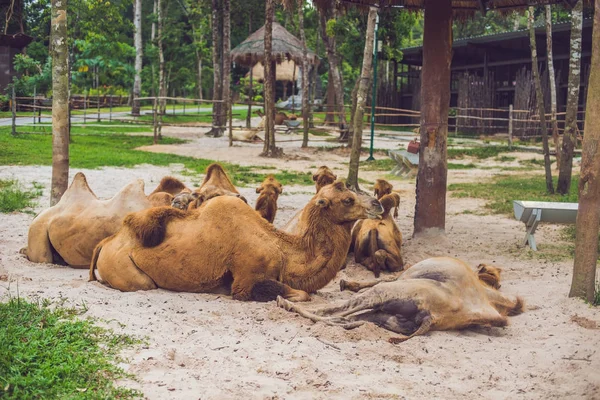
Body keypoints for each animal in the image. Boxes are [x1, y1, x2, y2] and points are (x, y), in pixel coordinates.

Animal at [90, 181, 384, 300]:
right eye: (347, 199)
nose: (378, 205)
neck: (284, 251)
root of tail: (105, 243)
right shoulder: (246, 281)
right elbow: (299, 294)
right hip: (127, 270)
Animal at [278, 258, 524, 342]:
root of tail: (432, 317)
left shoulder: (399, 277)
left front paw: (347, 283)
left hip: (385, 292)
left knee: (330, 311)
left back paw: (286, 303)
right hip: (384, 316)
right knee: (348, 319)